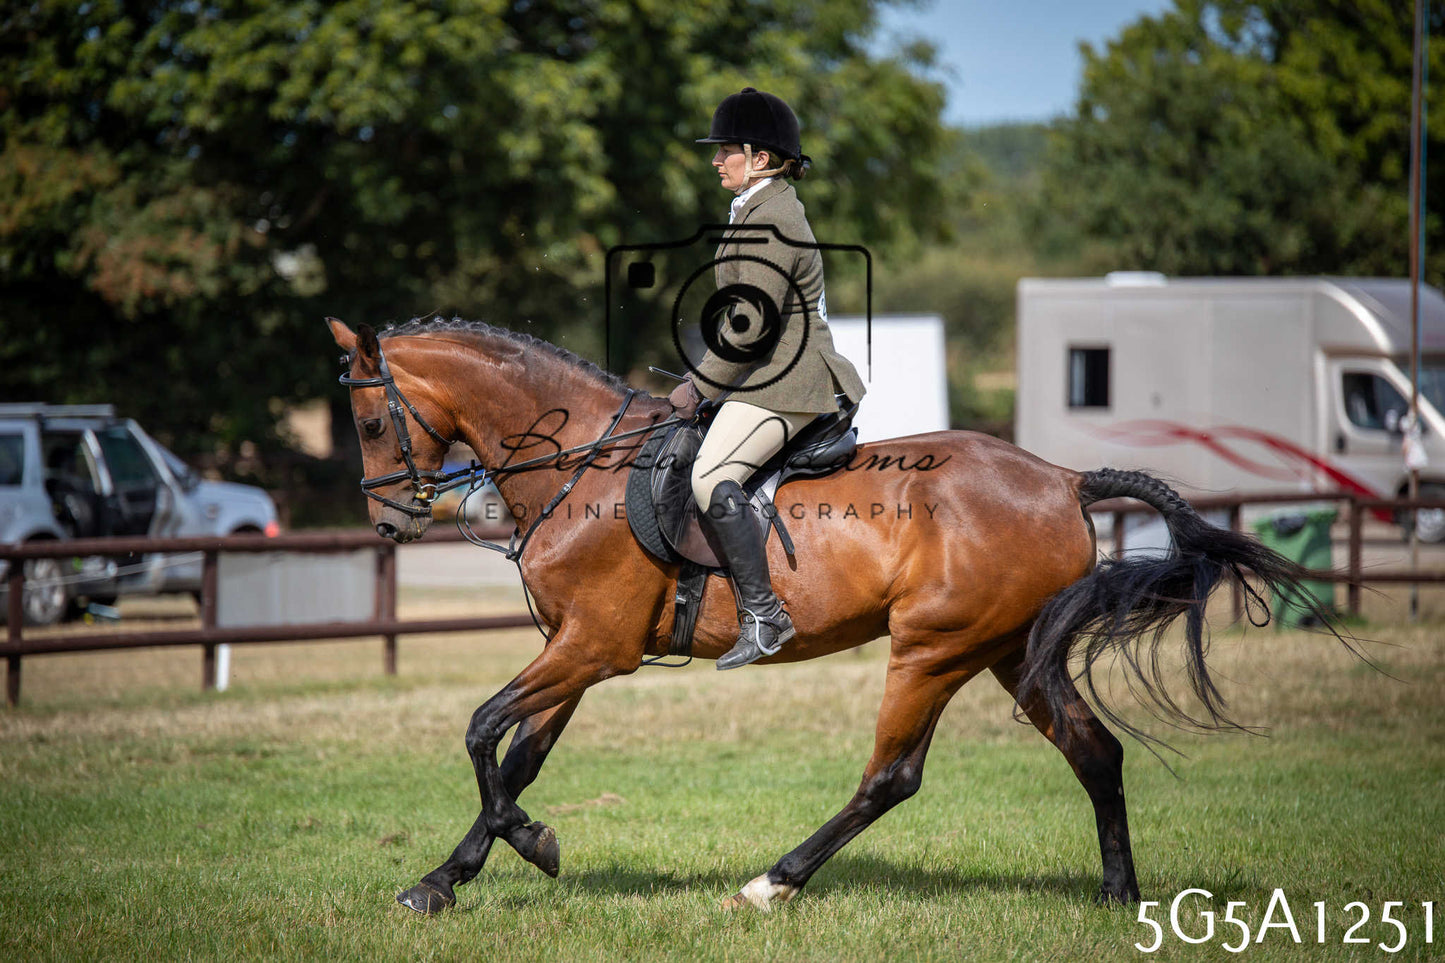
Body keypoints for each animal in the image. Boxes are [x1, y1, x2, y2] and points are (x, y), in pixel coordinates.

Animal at [327, 316, 1325, 915]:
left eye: (371, 425)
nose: (389, 523)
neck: (580, 463)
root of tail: (1062, 478)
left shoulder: (592, 646)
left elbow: (479, 728)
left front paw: (527, 843)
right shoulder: (573, 647)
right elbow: (518, 754)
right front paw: (445, 878)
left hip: (931, 649)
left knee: (891, 776)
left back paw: (773, 881)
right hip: (1009, 650)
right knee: (1094, 750)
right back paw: (1118, 894)